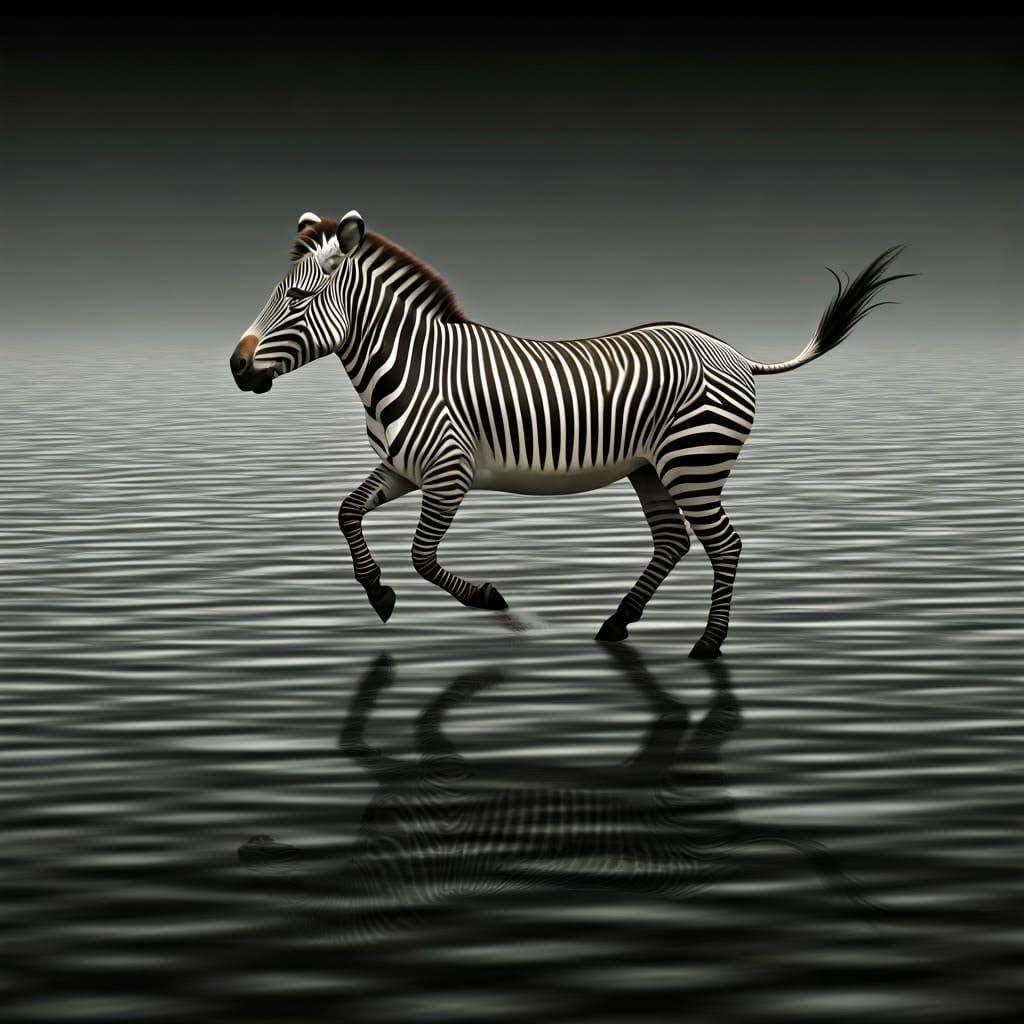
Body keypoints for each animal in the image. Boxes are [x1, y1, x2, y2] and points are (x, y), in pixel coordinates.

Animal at [229, 211, 908, 657]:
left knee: (727, 547)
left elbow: (423, 556)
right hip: (651, 469)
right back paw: (616, 624)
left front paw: (490, 600)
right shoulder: (402, 468)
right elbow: (346, 513)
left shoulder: (448, 474)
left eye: (297, 301)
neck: (410, 366)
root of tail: (731, 353)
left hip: (694, 465)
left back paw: (708, 646)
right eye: (273, 296)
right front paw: (377, 595)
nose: (237, 368)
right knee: (673, 544)